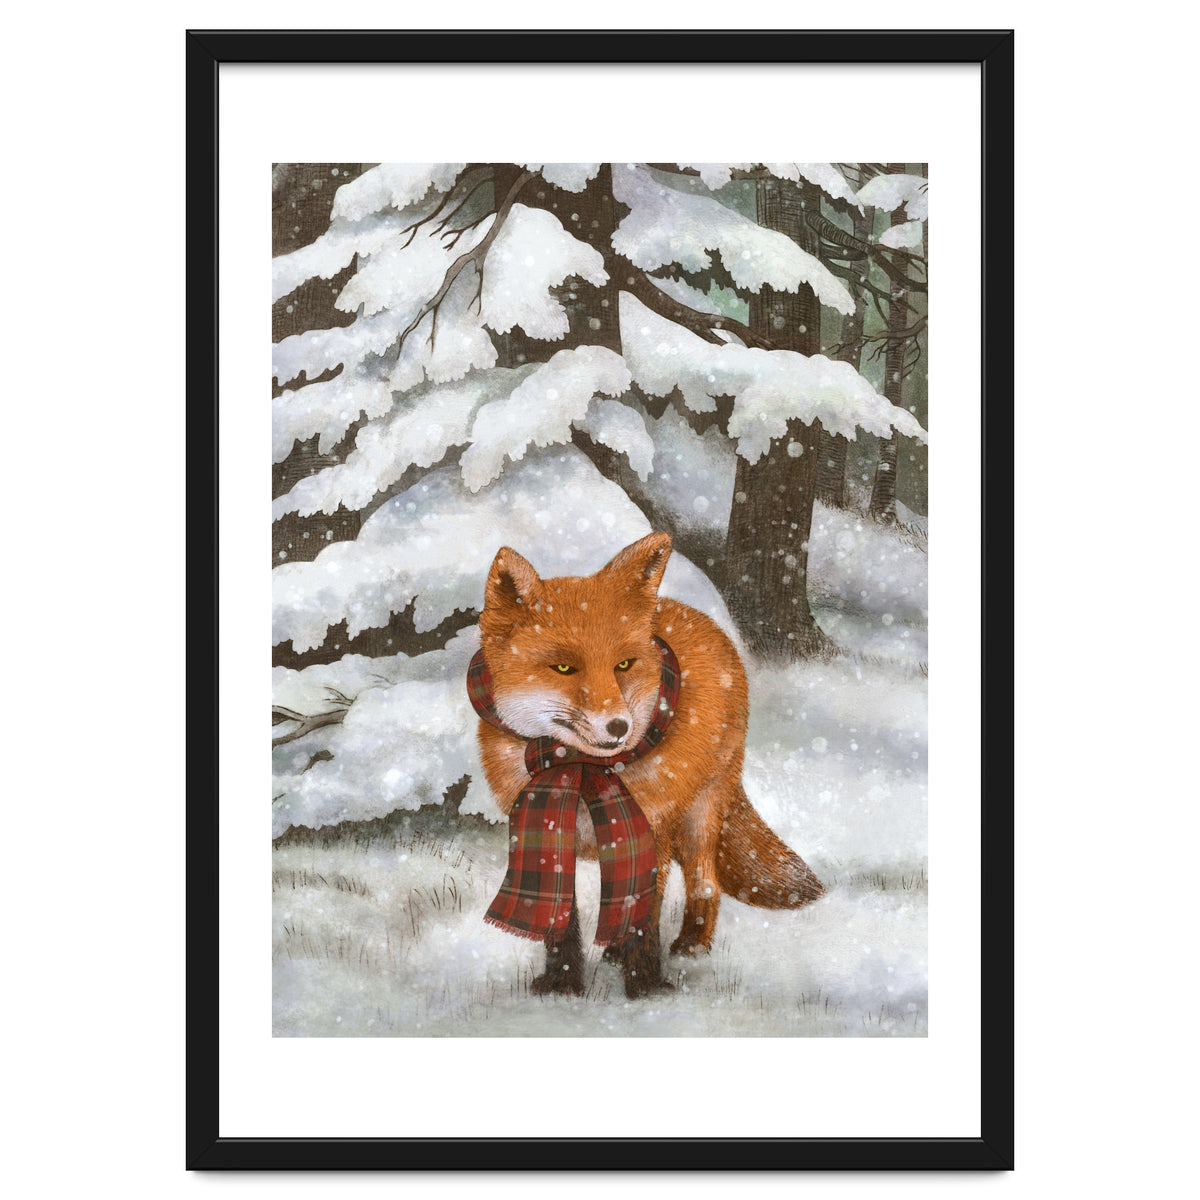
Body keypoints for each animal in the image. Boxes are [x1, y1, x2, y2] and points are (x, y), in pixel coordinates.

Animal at [474, 531, 824, 999]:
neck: (580, 770)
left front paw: (645, 987)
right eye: (564, 668)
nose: (619, 727)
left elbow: (644, 916)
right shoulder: (550, 829)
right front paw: (562, 984)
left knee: (704, 883)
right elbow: (562, 918)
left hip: (699, 816)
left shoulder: (649, 829)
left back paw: (691, 944)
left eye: (623, 665)